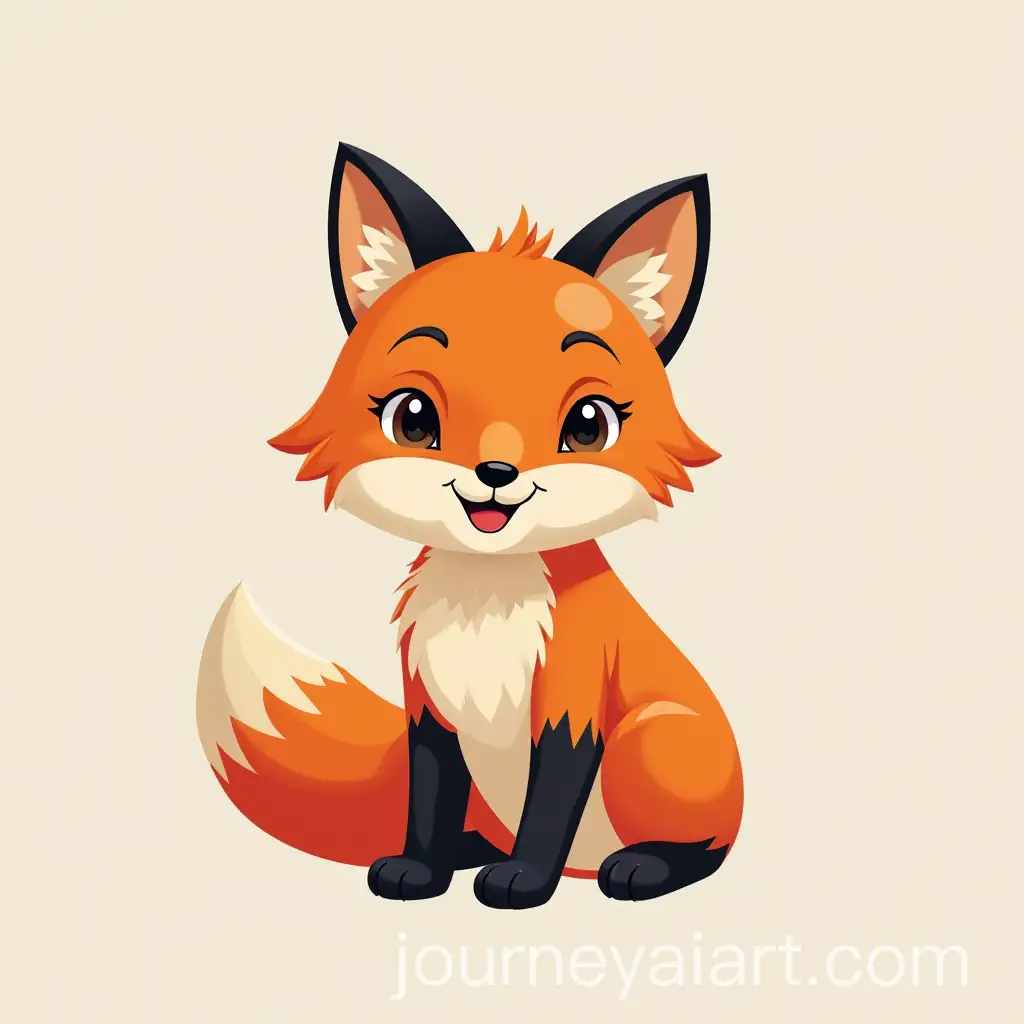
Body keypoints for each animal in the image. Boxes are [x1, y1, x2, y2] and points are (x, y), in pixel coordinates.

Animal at [196, 142, 743, 910]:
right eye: (413, 416)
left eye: (588, 424)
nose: (496, 472)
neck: (485, 609)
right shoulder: (429, 705)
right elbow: (427, 800)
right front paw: (421, 869)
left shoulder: (573, 699)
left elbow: (550, 804)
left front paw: (523, 881)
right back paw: (468, 851)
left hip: (652, 736)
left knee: (705, 850)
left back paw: (642, 866)